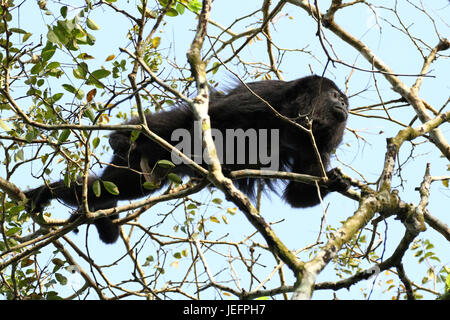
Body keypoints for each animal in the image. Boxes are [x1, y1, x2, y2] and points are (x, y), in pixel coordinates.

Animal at [25, 75, 352, 244]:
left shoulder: (317, 145)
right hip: (152, 142)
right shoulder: (266, 95)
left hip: (141, 171)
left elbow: (296, 194)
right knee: (169, 125)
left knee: (121, 186)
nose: (346, 105)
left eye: (343, 100)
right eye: (335, 96)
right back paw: (121, 138)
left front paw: (335, 181)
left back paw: (84, 201)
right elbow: (213, 117)